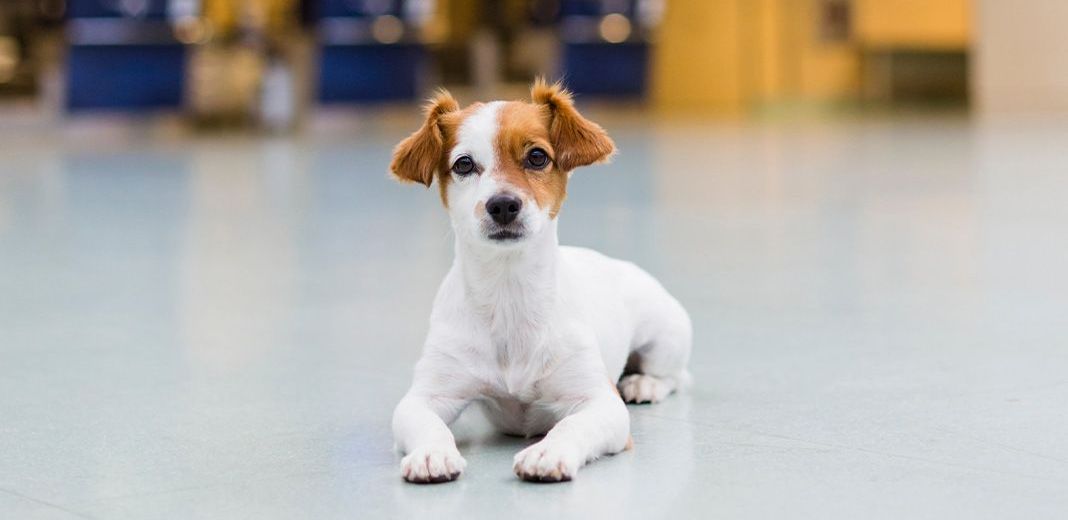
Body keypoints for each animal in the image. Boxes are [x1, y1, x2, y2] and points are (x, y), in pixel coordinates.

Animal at [388, 80, 687, 484]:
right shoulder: (425, 397)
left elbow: (572, 425)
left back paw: (644, 383)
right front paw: (432, 453)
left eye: (537, 157)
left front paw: (548, 451)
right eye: (463, 164)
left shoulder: (602, 403)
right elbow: (427, 423)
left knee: (675, 376)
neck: (509, 292)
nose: (502, 204)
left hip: (666, 336)